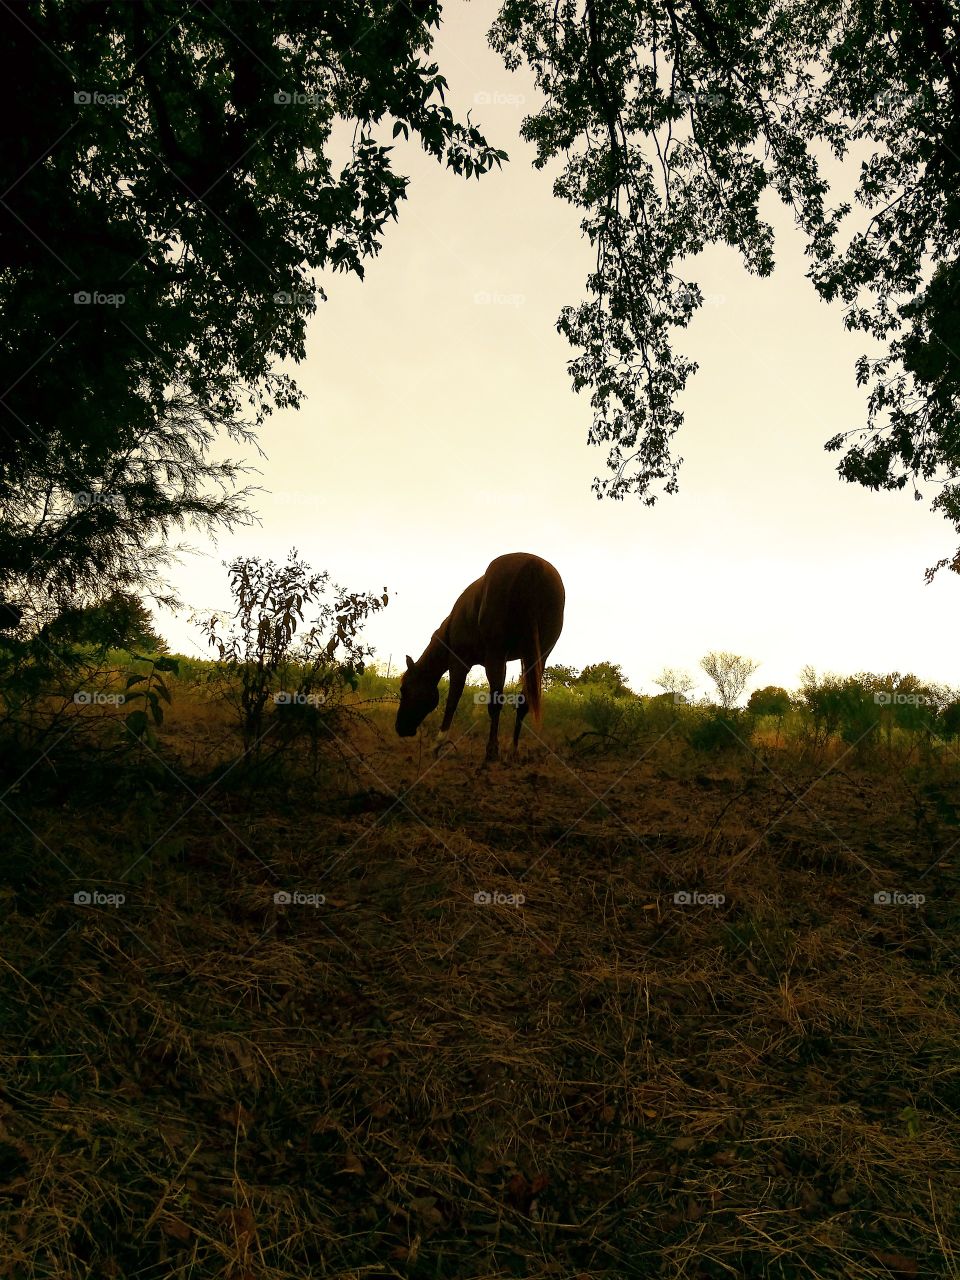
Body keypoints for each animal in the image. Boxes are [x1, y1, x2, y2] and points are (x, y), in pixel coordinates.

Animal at [396, 550, 568, 757]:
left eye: (404, 689)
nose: (400, 728)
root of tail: (533, 565)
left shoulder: (459, 663)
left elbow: (453, 700)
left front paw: (438, 743)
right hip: (538, 657)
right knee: (523, 702)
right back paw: (512, 749)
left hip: (497, 655)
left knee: (496, 702)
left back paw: (492, 750)